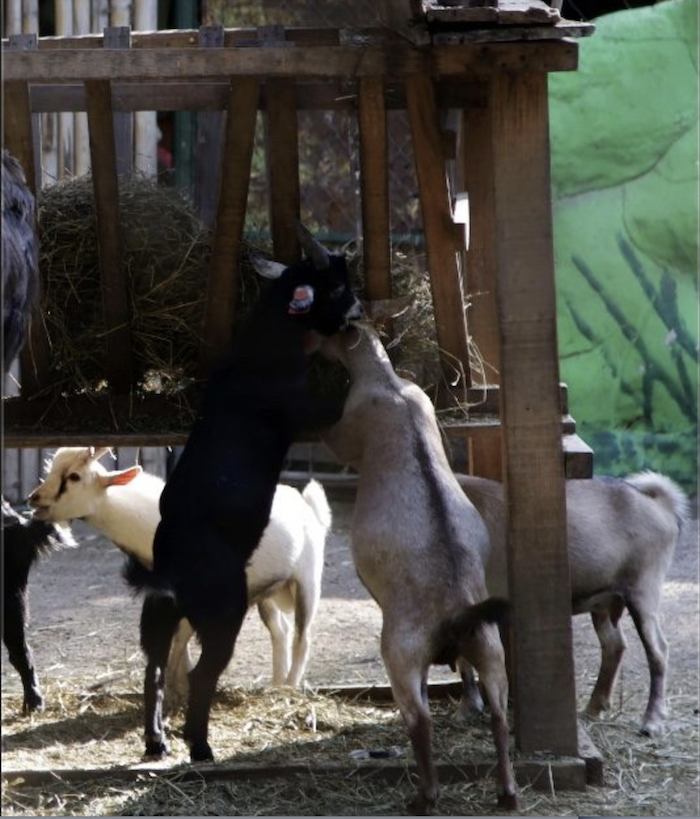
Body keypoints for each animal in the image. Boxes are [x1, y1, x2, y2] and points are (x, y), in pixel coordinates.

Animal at [28, 446, 330, 700]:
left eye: (74, 476)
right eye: (52, 468)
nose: (34, 499)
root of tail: (307, 505)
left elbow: (182, 633)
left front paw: (177, 686)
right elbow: (176, 634)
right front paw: (178, 683)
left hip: (308, 582)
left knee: (302, 637)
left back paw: (289, 687)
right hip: (264, 593)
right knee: (280, 631)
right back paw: (275, 684)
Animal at [126, 223, 364, 764]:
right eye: (339, 285)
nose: (360, 309)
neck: (262, 352)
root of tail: (171, 571)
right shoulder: (312, 412)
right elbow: (339, 399)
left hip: (159, 618)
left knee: (154, 670)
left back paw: (157, 742)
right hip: (224, 614)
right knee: (201, 673)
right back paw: (200, 746)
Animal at [320, 326, 516, 812]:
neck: (391, 387)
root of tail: (456, 613)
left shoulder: (347, 429)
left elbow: (329, 434)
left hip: (401, 653)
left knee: (420, 721)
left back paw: (425, 797)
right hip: (490, 649)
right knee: (499, 715)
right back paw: (506, 793)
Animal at [454, 474, 688, 736]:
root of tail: (660, 505)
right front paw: (467, 708)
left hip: (643, 589)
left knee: (658, 649)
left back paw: (651, 721)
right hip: (605, 602)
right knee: (615, 645)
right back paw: (594, 708)